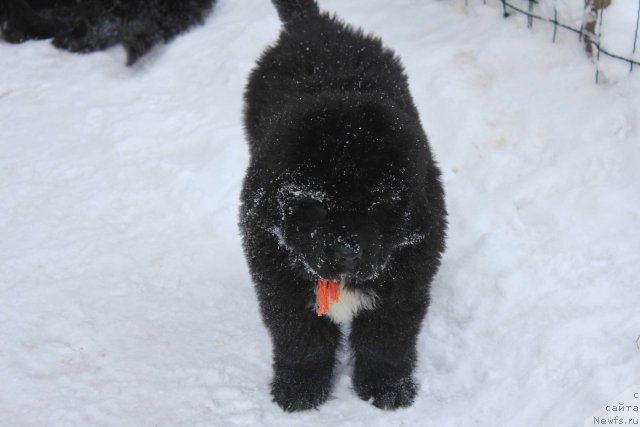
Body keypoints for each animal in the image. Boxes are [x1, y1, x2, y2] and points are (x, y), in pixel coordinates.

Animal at [239, 0, 444, 412]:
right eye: (315, 207)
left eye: (380, 206)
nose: (346, 250)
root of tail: (311, 24)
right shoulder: (281, 285)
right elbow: (302, 343)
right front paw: (299, 391)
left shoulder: (403, 287)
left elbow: (386, 342)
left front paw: (387, 389)